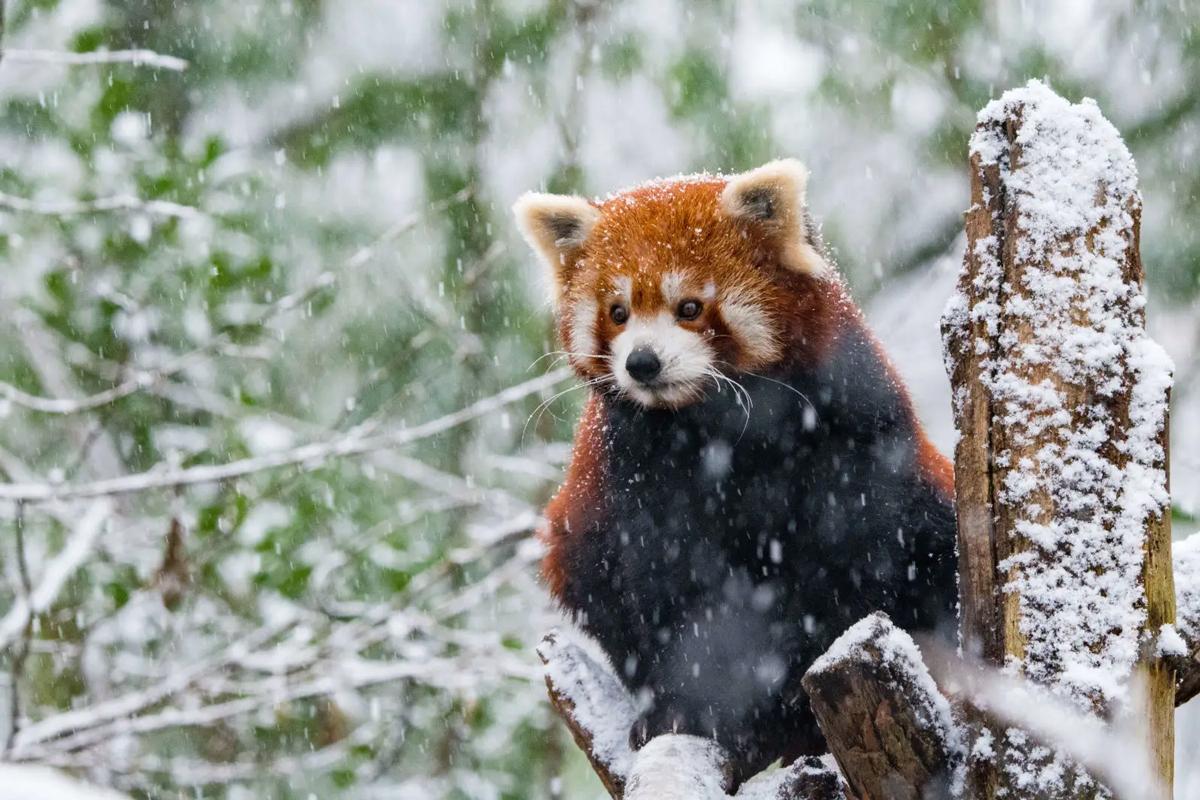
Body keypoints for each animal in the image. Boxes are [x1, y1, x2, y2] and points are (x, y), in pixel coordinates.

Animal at [513, 159, 955, 786]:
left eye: (689, 307)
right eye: (618, 312)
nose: (642, 362)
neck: (715, 427)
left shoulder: (851, 428)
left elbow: (847, 559)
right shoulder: (630, 475)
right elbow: (664, 587)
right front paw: (683, 706)